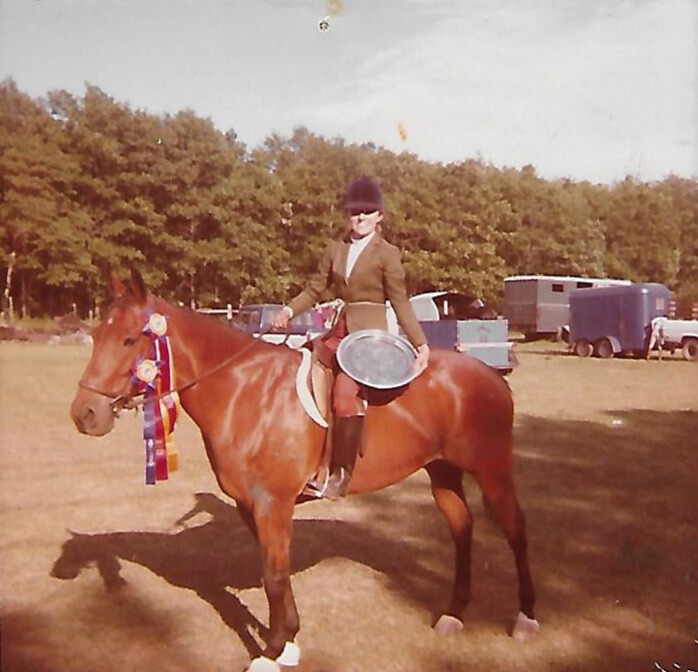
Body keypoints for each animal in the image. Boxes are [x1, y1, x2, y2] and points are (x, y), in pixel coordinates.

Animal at [70, 270, 536, 672]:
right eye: (96, 336)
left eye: (130, 339)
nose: (85, 414)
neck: (243, 389)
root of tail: (490, 375)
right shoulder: (252, 506)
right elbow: (274, 573)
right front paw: (289, 643)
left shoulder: (271, 504)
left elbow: (274, 575)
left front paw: (272, 650)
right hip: (443, 472)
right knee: (462, 528)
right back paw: (454, 614)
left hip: (492, 470)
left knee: (515, 528)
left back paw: (526, 617)